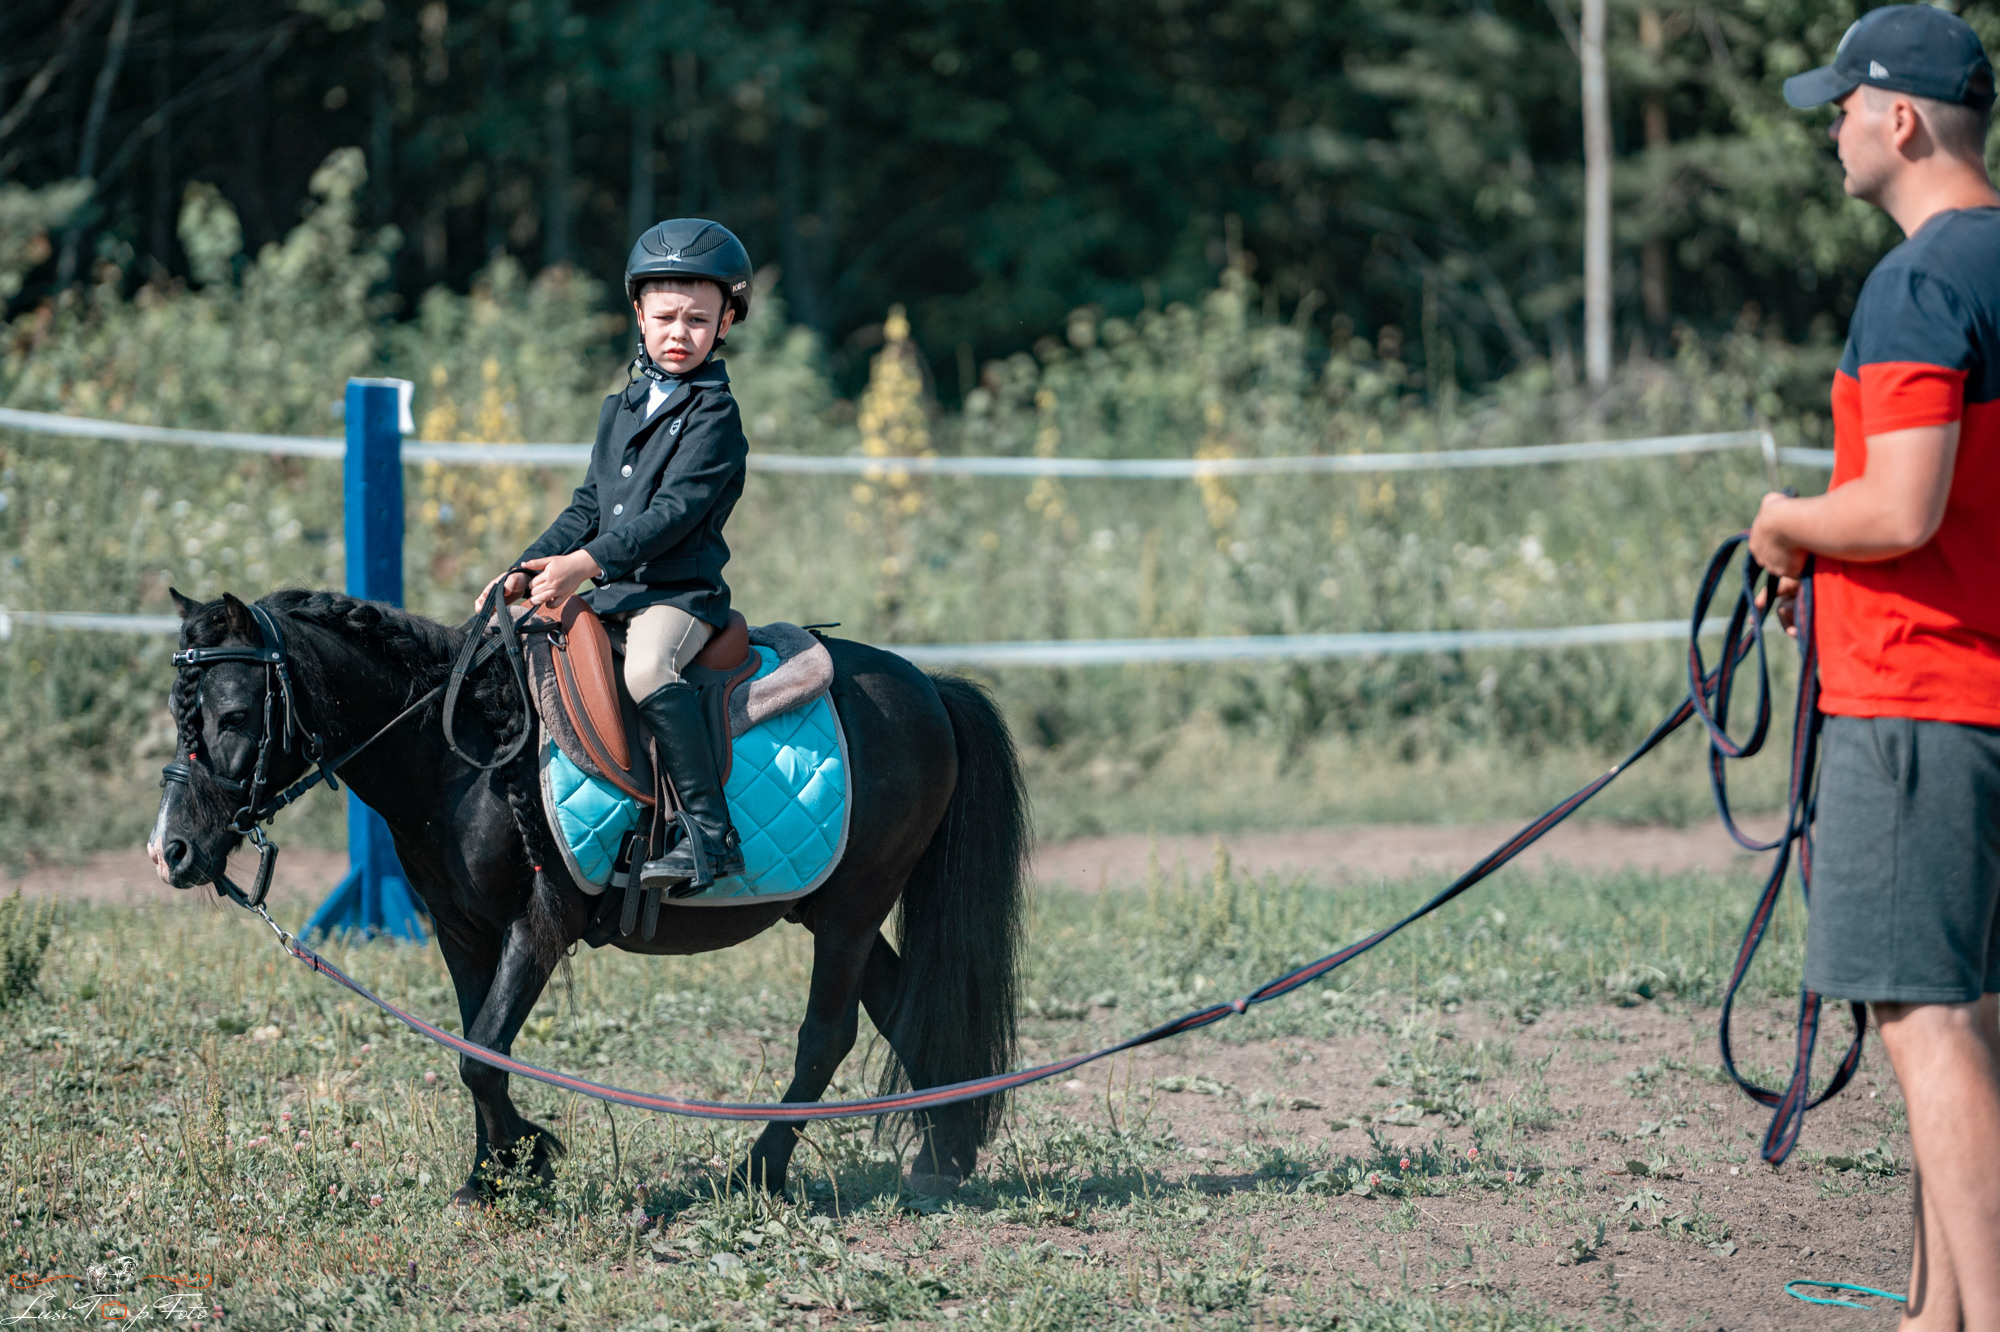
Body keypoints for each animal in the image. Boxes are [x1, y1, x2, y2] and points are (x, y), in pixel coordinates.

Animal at [146, 588, 1028, 1204]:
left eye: (233, 715)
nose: (170, 851)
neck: (466, 752)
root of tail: (928, 688)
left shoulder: (539, 924)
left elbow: (482, 1054)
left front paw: (526, 1159)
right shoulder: (462, 931)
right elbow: (479, 1047)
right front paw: (494, 1174)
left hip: (850, 912)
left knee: (827, 1037)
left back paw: (761, 1171)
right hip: (835, 909)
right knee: (904, 1007)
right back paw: (942, 1159)